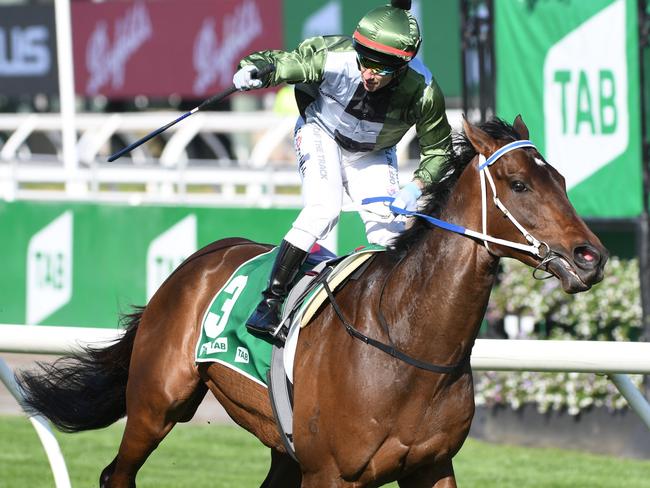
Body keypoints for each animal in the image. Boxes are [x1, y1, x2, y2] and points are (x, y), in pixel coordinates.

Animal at [17, 116, 604, 486]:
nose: (590, 257)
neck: (408, 342)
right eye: (519, 183)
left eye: (561, 179)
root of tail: (195, 261)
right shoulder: (331, 474)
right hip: (156, 405)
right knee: (116, 473)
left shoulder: (431, 467)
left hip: (281, 445)